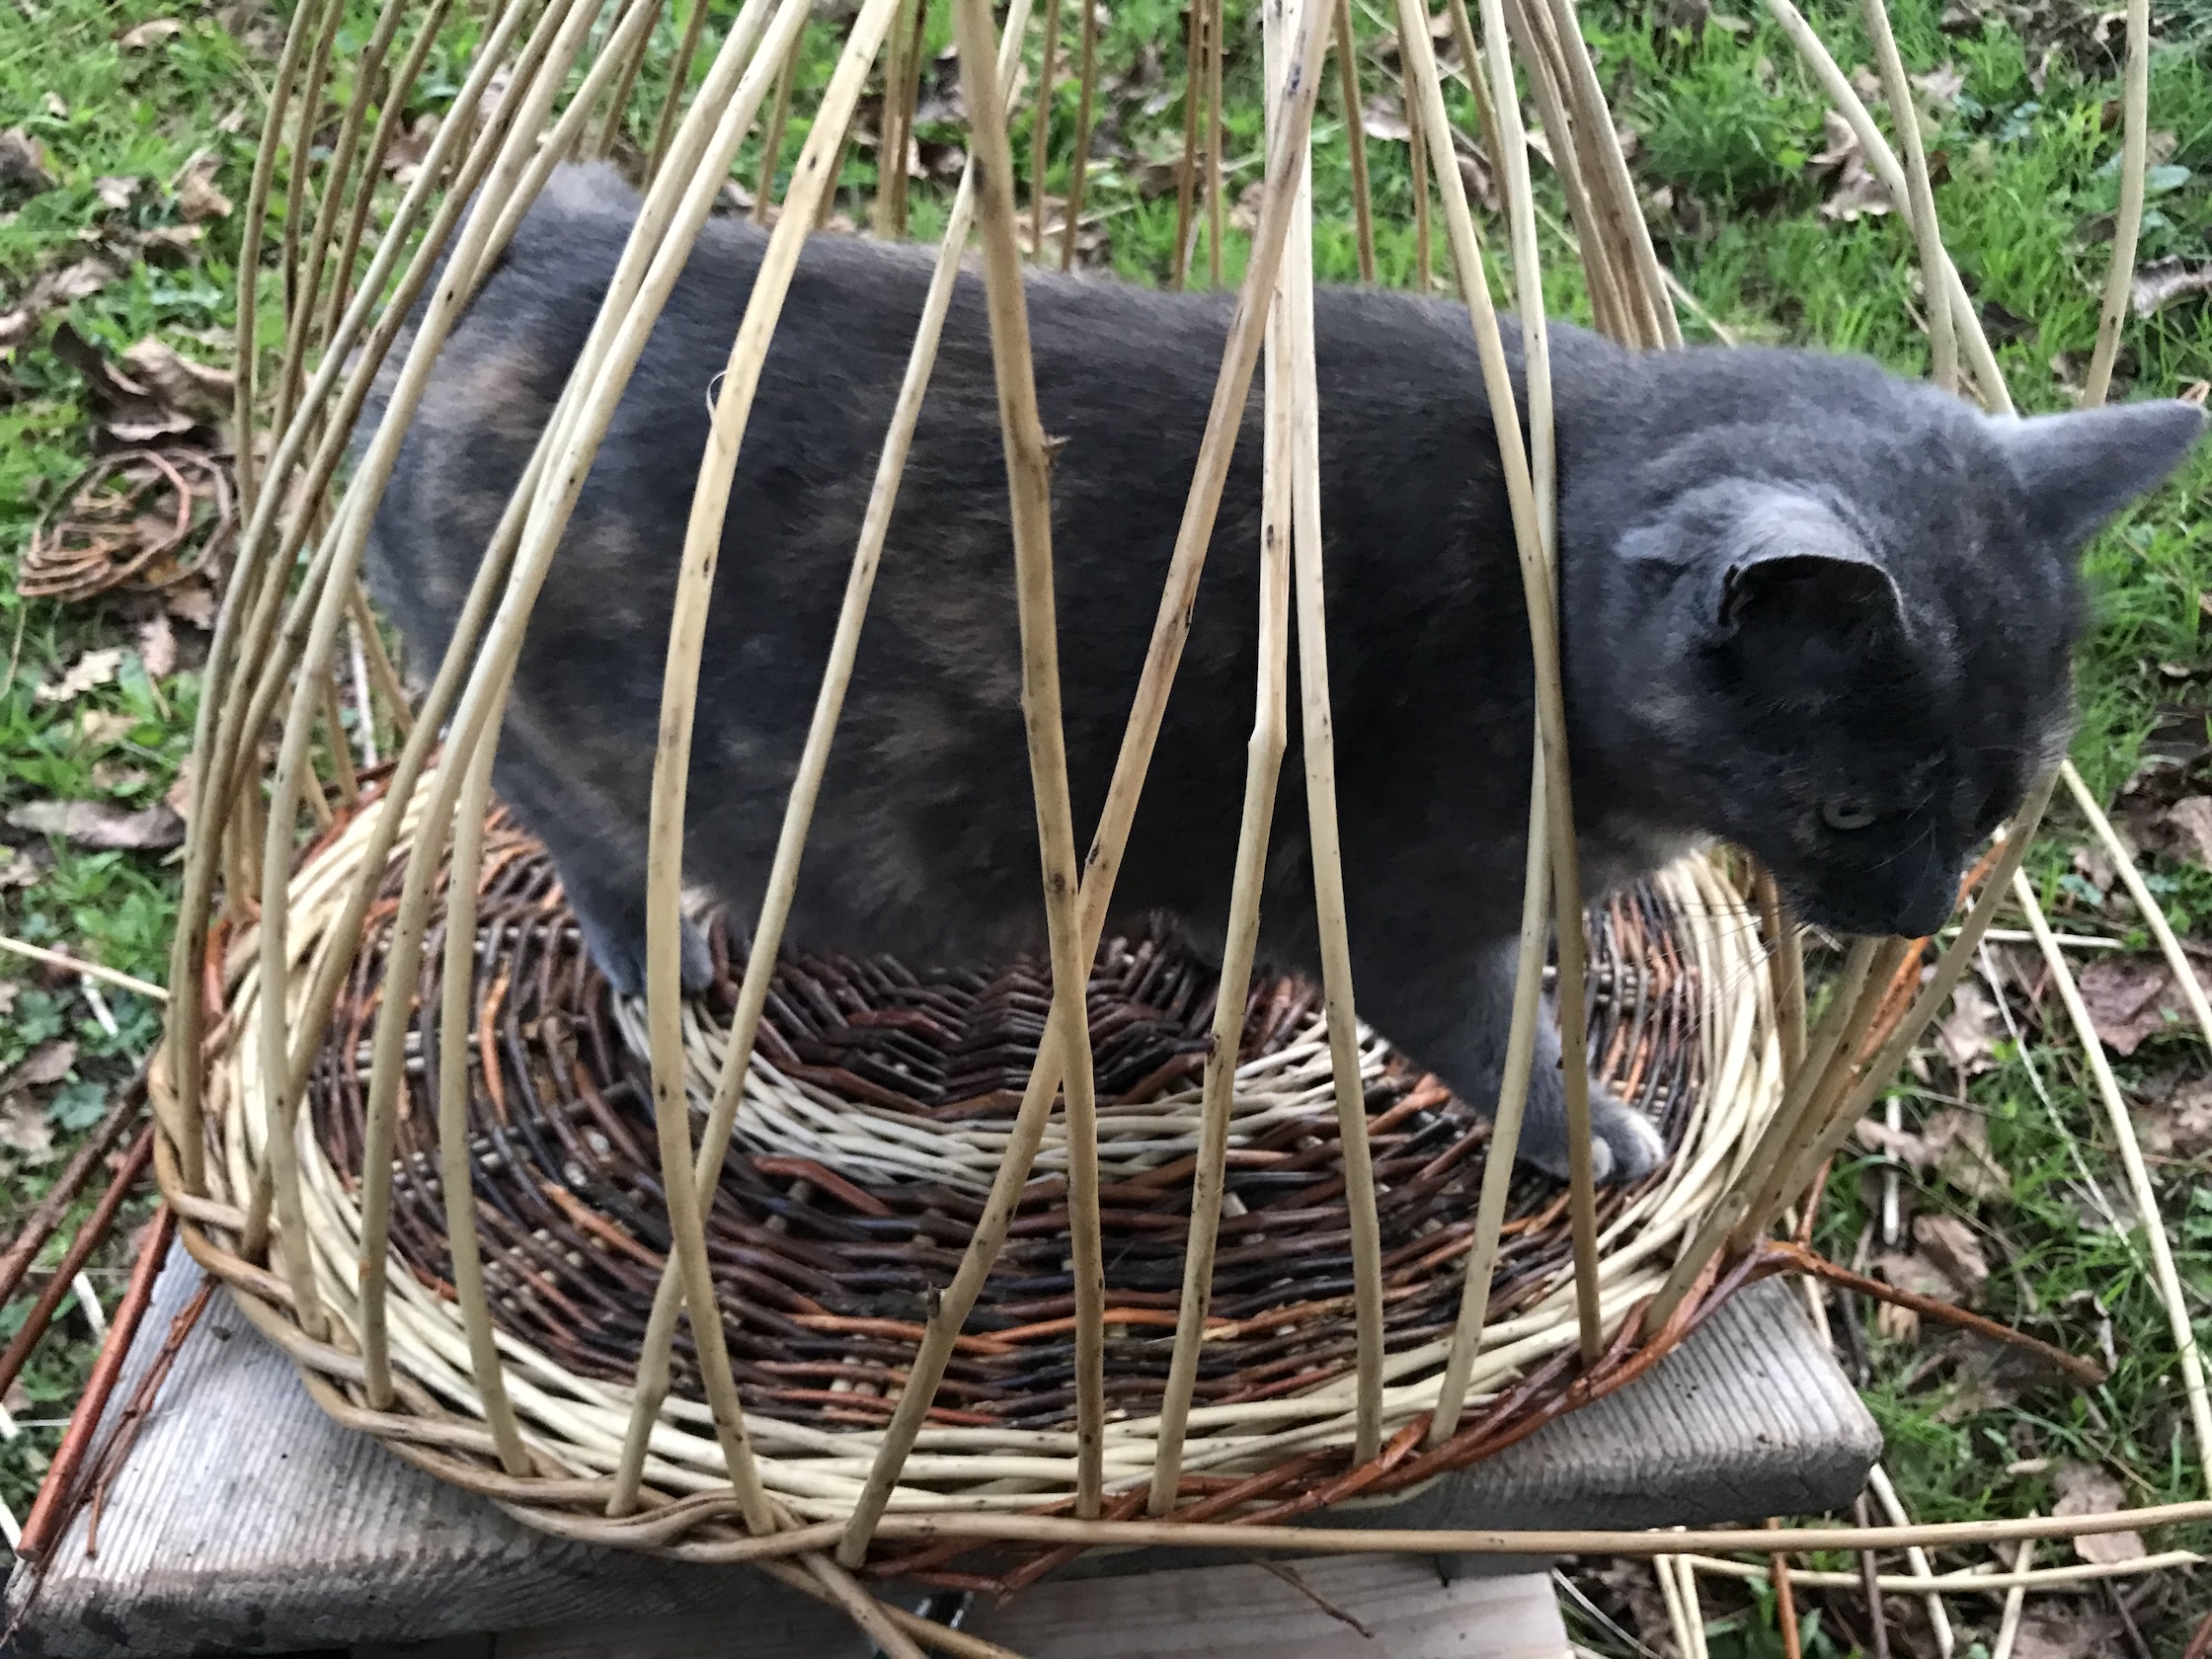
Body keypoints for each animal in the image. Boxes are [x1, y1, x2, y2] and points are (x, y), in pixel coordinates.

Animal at [360, 161, 2204, 1185]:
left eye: (2005, 799)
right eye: (1853, 806)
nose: (1918, 911)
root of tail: (538, 252)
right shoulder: (1404, 910)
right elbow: (1502, 1042)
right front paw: (1588, 1133)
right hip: (565, 751)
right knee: (602, 863)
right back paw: (669, 962)